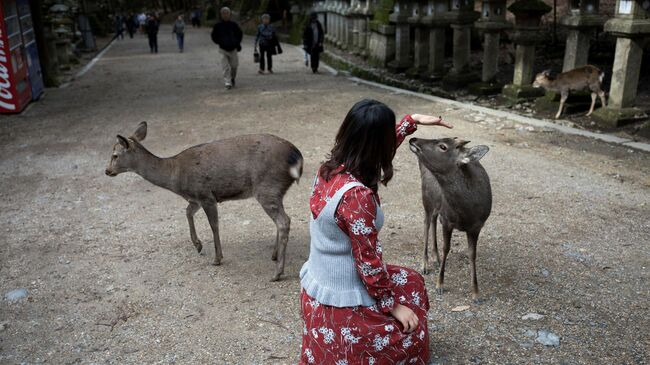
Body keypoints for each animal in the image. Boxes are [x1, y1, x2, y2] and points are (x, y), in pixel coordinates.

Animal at [104, 122, 302, 282]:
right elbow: (187, 212)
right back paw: (274, 255)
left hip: (267, 187)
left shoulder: (206, 195)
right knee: (284, 219)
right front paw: (198, 245)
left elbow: (214, 225)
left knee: (284, 221)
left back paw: (277, 272)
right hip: (276, 191)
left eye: (115, 155)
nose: (107, 171)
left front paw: (217, 258)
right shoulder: (195, 198)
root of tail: (297, 157)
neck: (176, 177)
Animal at [410, 136, 492, 302]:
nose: (414, 139)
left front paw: (476, 293)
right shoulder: (447, 220)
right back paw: (425, 264)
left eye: (443, 146)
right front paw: (439, 285)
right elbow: (446, 248)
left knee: (433, 220)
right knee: (426, 223)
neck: (466, 211)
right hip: (426, 199)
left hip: (437, 205)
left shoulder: (477, 226)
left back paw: (436, 258)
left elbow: (472, 254)